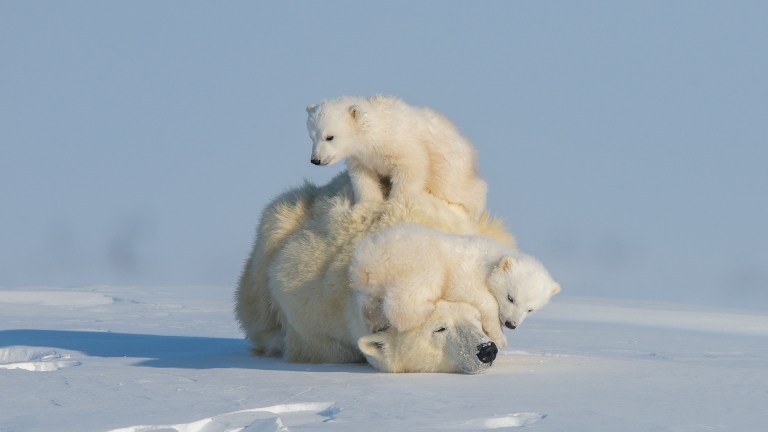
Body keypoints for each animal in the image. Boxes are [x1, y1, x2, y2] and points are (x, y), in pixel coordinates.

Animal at [306, 96, 486, 221]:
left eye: (329, 137)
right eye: (311, 137)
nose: (315, 160)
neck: (377, 133)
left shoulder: (401, 144)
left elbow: (412, 166)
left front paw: (396, 205)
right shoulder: (362, 159)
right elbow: (364, 178)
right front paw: (368, 205)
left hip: (451, 169)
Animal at [348, 224, 560, 346]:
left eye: (530, 309)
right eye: (511, 297)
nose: (511, 324)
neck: (490, 259)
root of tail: (367, 259)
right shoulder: (466, 272)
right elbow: (481, 298)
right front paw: (500, 338)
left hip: (371, 282)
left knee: (369, 303)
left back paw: (375, 322)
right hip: (415, 260)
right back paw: (424, 309)